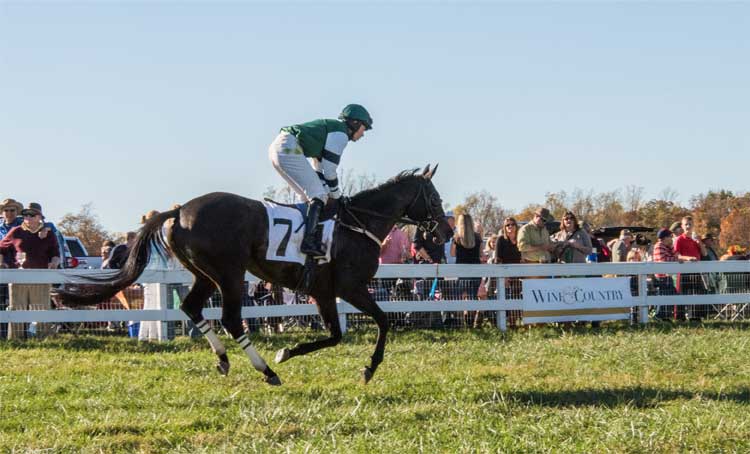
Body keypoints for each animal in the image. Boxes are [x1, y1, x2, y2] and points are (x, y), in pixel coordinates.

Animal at [54, 165, 452, 384]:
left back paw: (224, 360)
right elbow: (382, 321)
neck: (358, 224)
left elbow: (337, 335)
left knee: (192, 308)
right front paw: (369, 367)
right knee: (231, 318)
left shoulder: (323, 292)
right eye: (434, 197)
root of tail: (180, 210)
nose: (445, 232)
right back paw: (266, 371)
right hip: (229, 273)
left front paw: (289, 351)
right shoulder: (350, 288)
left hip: (205, 274)